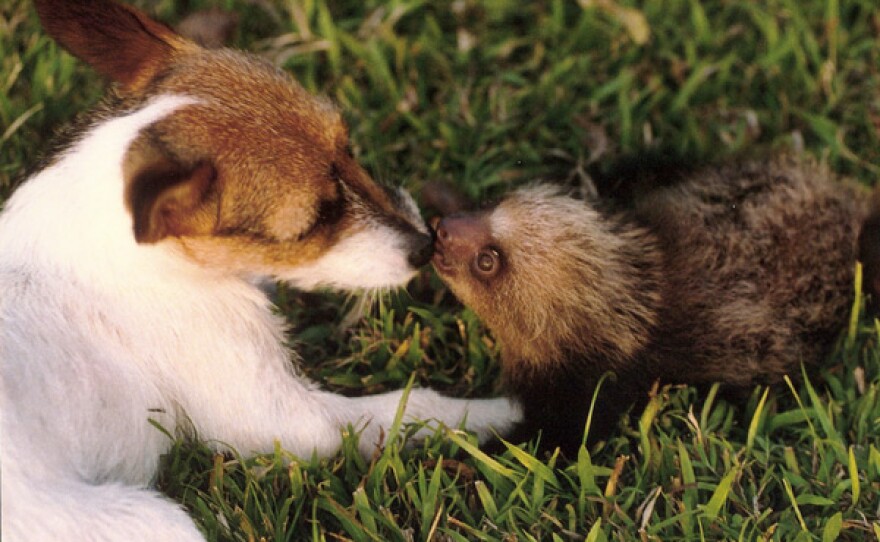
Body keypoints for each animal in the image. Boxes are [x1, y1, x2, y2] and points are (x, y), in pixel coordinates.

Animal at [0, 2, 520, 540]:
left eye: (348, 148)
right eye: (316, 220)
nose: (425, 246)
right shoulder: (285, 417)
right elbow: (414, 406)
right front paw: (503, 412)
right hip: (153, 520)